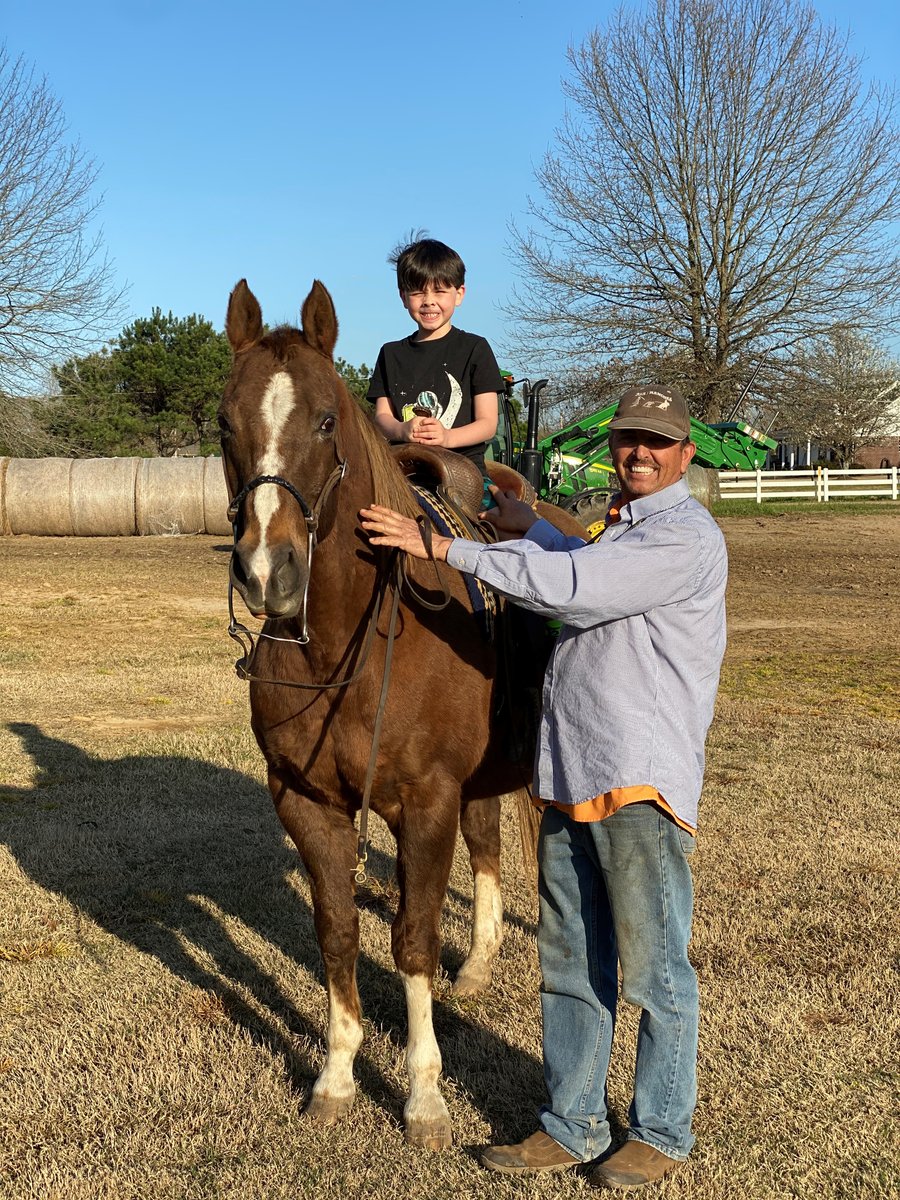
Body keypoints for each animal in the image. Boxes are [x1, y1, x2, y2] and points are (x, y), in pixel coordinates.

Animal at [222, 276, 532, 1147]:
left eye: (327, 420)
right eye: (224, 422)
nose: (268, 571)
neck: (341, 644)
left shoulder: (424, 803)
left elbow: (413, 939)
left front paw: (424, 1095)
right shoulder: (307, 802)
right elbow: (337, 935)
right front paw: (335, 1077)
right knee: (488, 842)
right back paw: (481, 961)